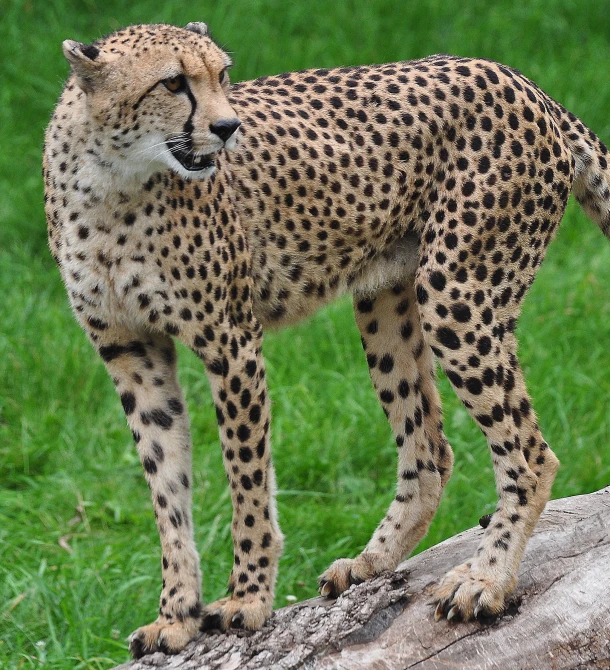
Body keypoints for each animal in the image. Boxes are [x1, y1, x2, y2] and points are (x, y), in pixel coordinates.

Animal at [44, 22, 608, 660]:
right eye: (172, 82)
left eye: (222, 75)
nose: (228, 127)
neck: (113, 179)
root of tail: (523, 82)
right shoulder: (131, 354)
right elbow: (168, 493)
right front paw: (176, 616)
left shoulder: (231, 343)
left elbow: (246, 481)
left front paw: (246, 600)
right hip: (385, 301)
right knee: (429, 451)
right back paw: (372, 562)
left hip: (456, 293)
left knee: (530, 453)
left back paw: (486, 581)